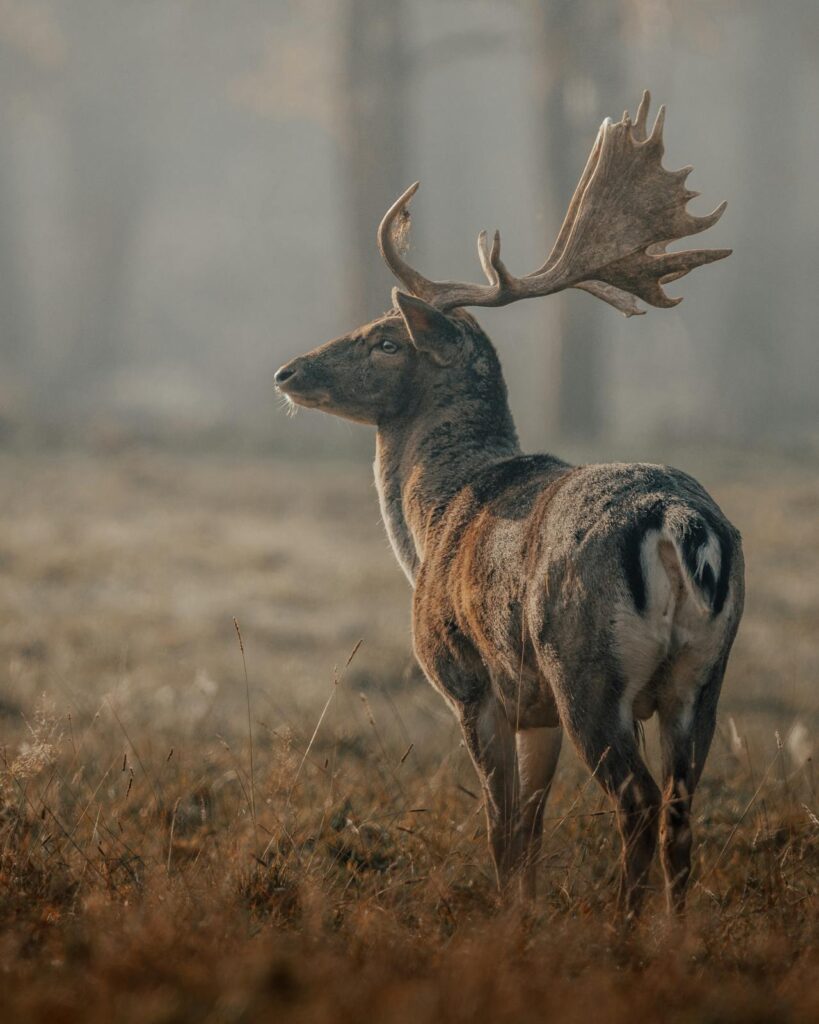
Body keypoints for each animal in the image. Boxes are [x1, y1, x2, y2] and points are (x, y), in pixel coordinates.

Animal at [274, 93, 744, 917]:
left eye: (386, 340)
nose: (289, 371)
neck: (434, 521)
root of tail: (681, 525)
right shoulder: (536, 709)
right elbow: (529, 827)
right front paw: (522, 916)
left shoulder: (471, 681)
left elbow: (499, 828)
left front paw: (506, 925)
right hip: (701, 677)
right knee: (682, 813)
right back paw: (672, 935)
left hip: (586, 667)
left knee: (637, 802)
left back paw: (623, 934)